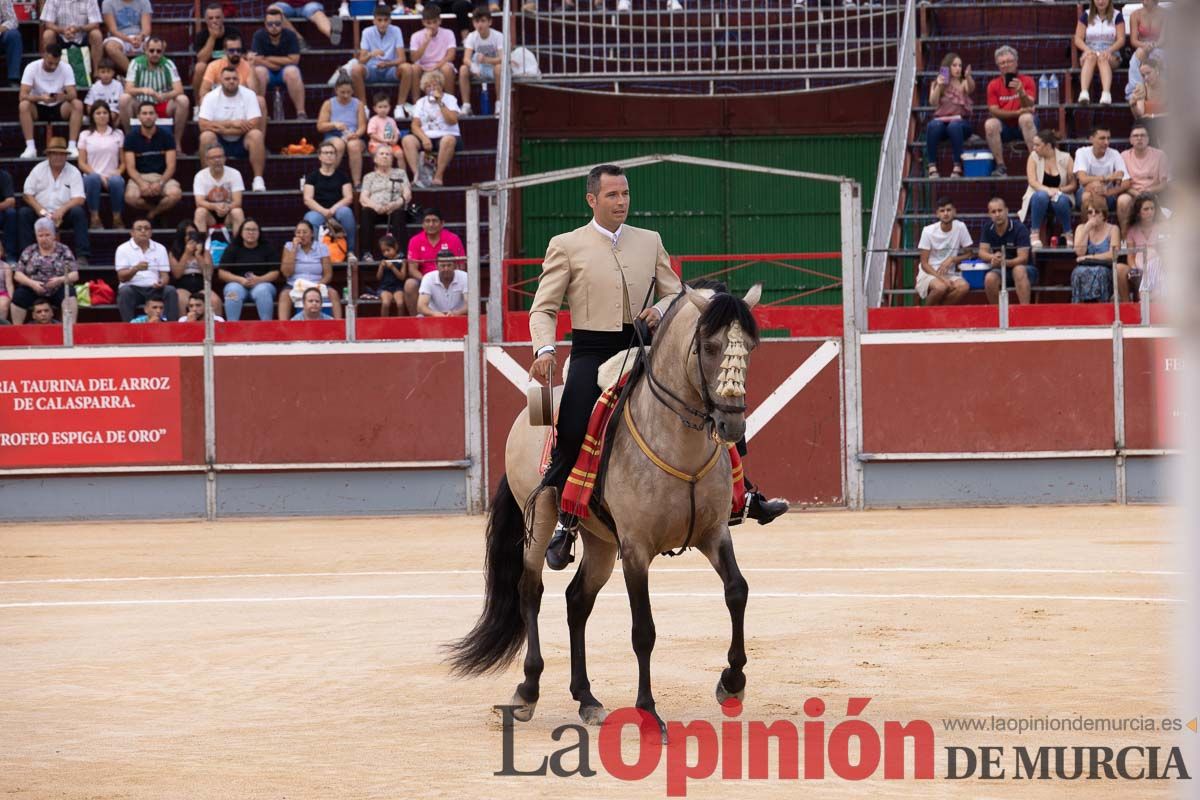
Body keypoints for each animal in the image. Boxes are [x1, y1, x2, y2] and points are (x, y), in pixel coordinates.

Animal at [446, 283, 763, 738]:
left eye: (751, 346)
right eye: (709, 346)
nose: (732, 425)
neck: (679, 445)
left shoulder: (714, 532)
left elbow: (737, 591)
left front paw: (732, 683)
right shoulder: (635, 549)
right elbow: (643, 630)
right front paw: (648, 712)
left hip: (599, 540)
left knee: (577, 599)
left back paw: (587, 699)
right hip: (541, 519)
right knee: (531, 590)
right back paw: (527, 691)